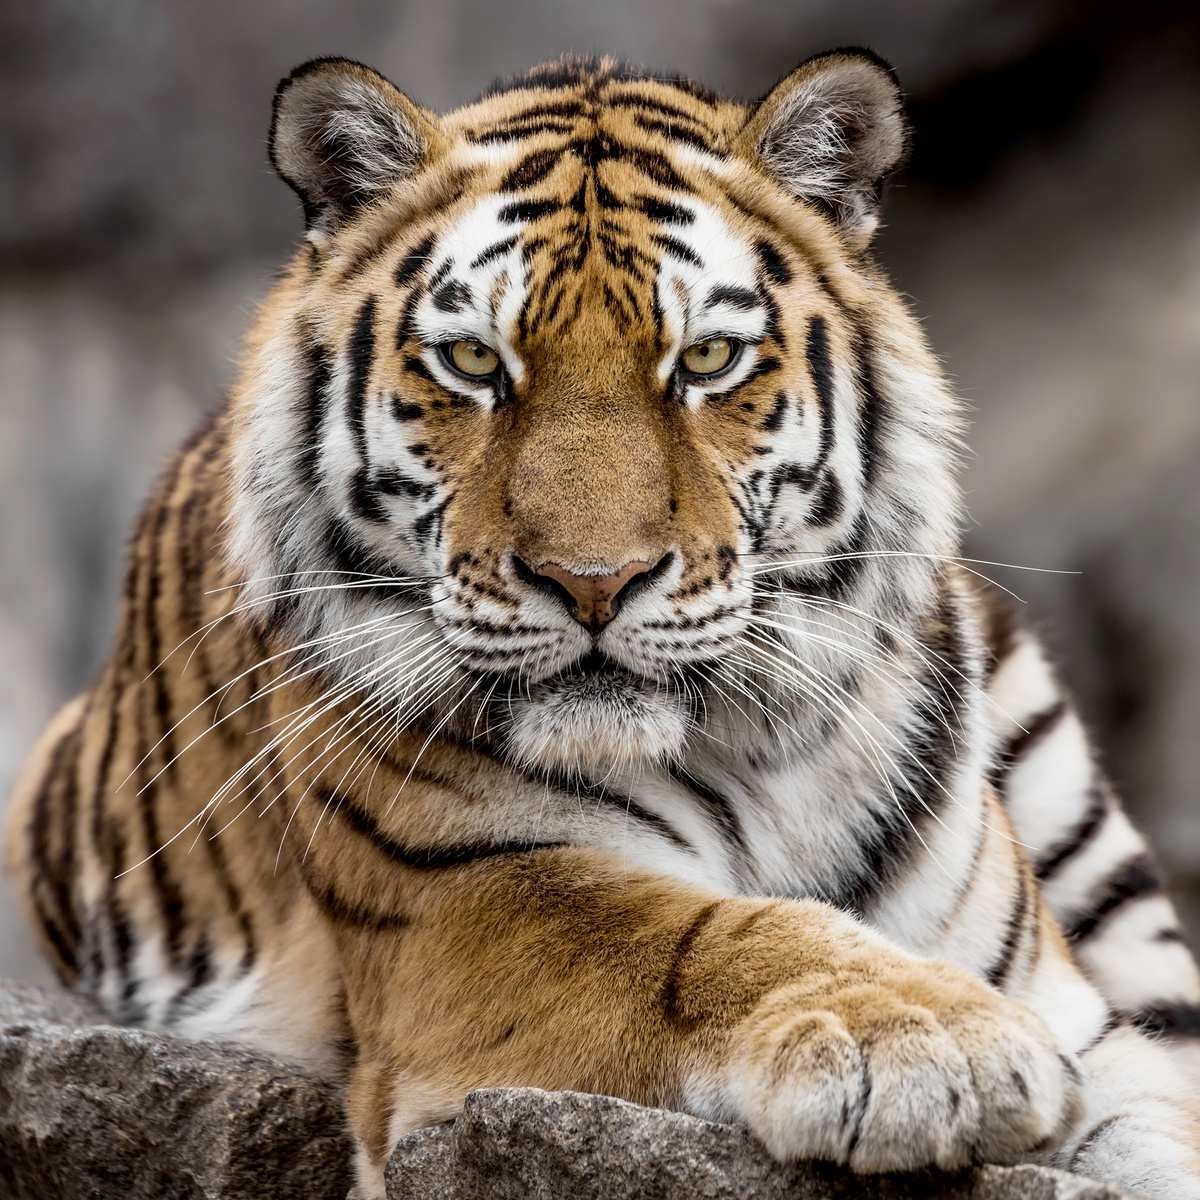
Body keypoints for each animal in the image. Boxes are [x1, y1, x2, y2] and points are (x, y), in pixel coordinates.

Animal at [7, 49, 1200, 1199]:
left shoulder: (1094, 1025)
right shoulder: (465, 904)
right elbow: (700, 935)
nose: (592, 582)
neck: (759, 757)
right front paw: (929, 1040)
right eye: (475, 362)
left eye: (707, 361)